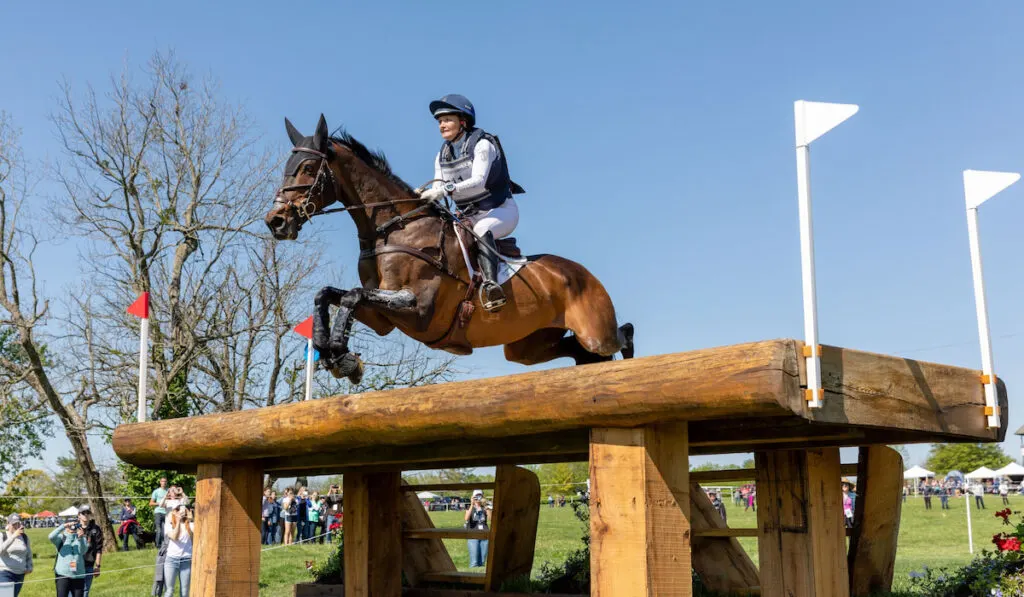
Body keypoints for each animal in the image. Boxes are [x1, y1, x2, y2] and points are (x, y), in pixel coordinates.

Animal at [264, 113, 630, 382]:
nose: (275, 221)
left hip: (594, 331)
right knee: (579, 353)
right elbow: (329, 294)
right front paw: (334, 353)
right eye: (286, 168)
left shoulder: (417, 308)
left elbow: (352, 296)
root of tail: (584, 275)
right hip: (527, 346)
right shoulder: (383, 318)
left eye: (308, 168)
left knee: (621, 337)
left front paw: (340, 355)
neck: (396, 228)